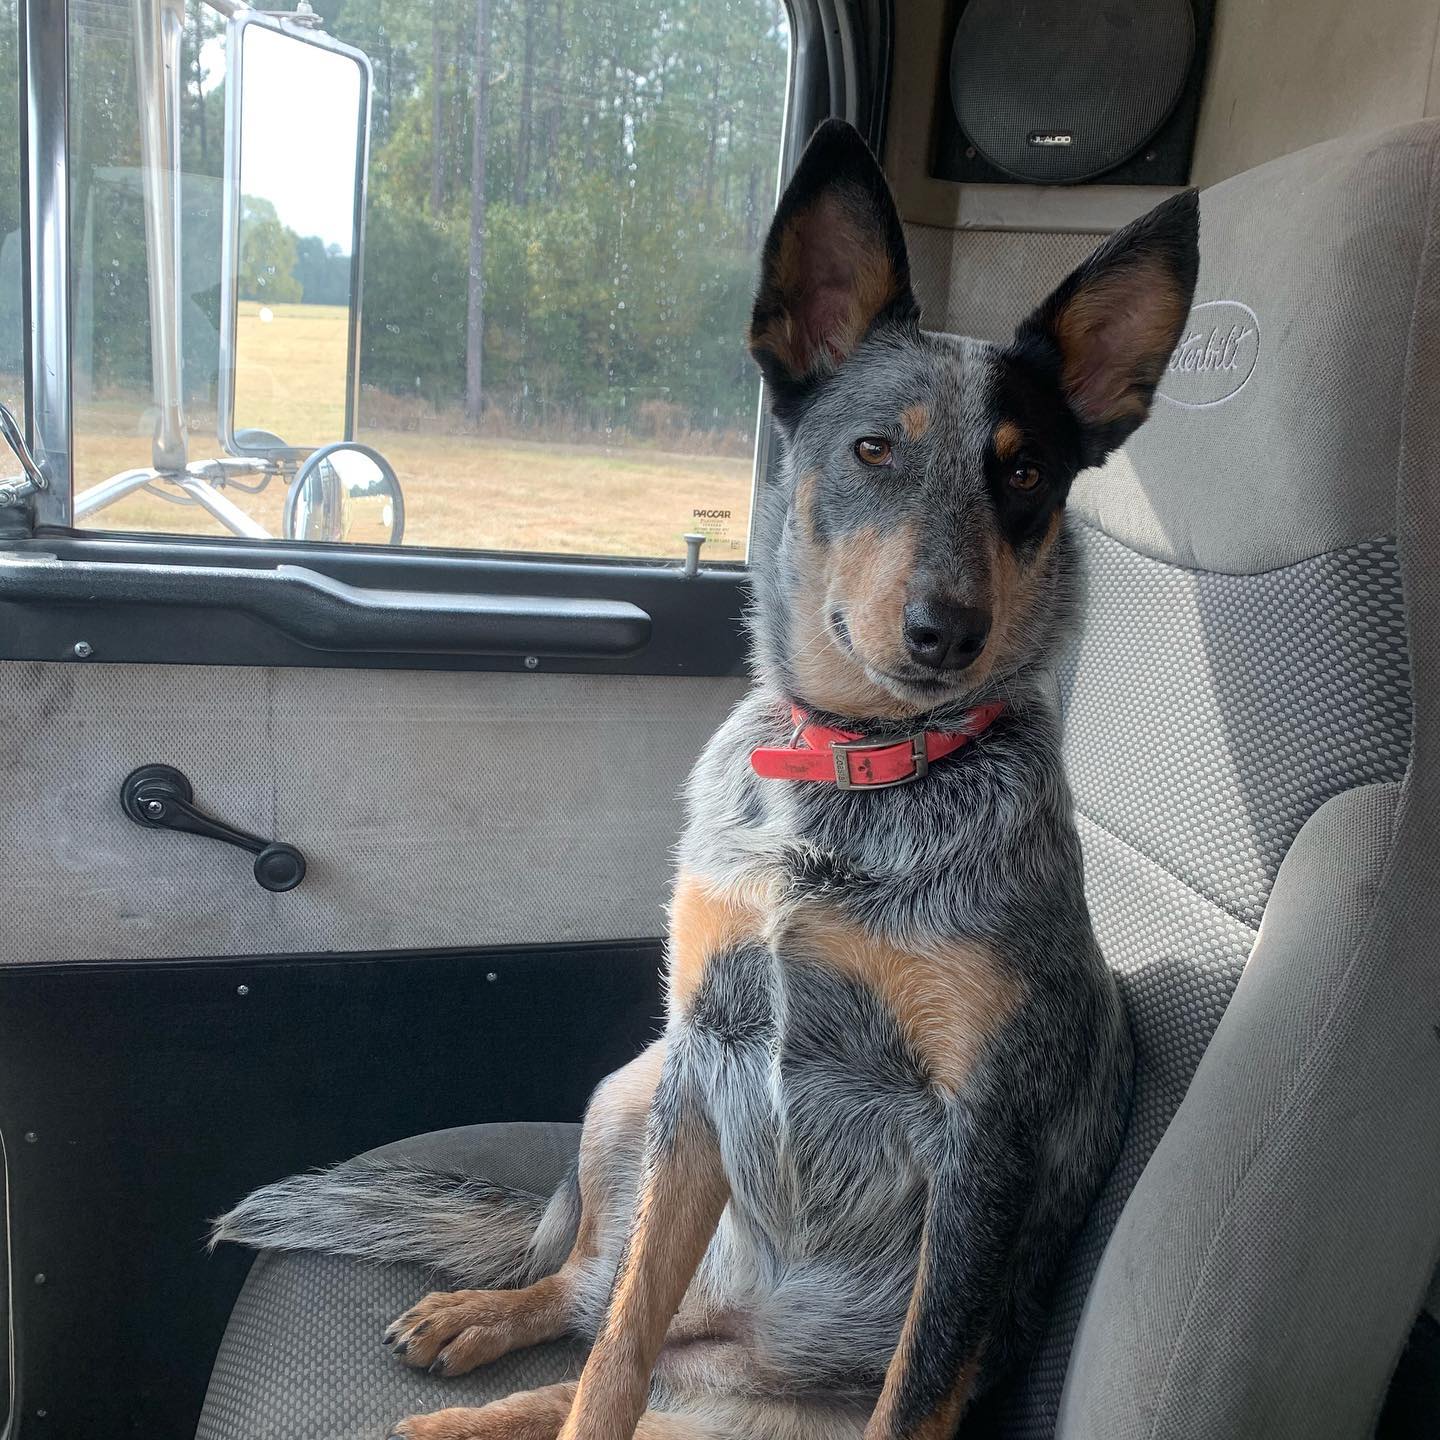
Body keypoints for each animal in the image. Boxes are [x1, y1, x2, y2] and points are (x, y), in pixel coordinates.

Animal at [215, 119, 1199, 1440]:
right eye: (875, 448)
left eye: (1028, 475)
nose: (949, 631)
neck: (851, 786)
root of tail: (736, 1363)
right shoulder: (702, 1064)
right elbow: (615, 1349)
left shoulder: (982, 1150)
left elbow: (911, 1390)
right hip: (627, 1091)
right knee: (591, 1301)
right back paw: (475, 1342)